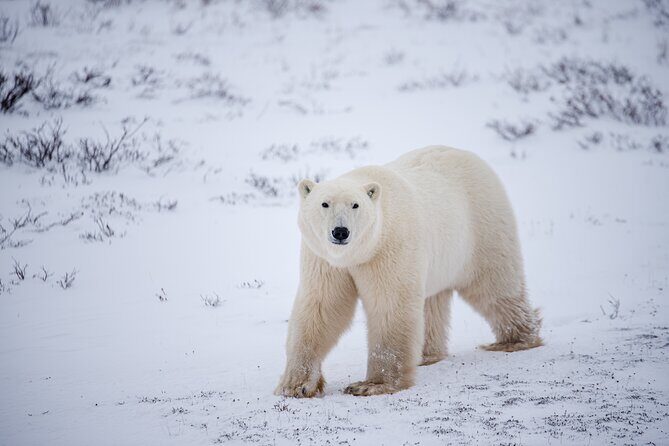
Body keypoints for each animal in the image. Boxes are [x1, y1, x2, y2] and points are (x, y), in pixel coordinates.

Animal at [275, 146, 542, 398]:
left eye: (355, 205)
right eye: (324, 203)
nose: (340, 232)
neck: (360, 253)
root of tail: (472, 158)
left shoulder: (389, 247)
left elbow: (390, 306)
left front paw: (371, 385)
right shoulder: (324, 260)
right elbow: (321, 307)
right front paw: (296, 385)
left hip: (482, 227)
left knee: (495, 284)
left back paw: (516, 340)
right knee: (432, 302)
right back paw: (427, 355)